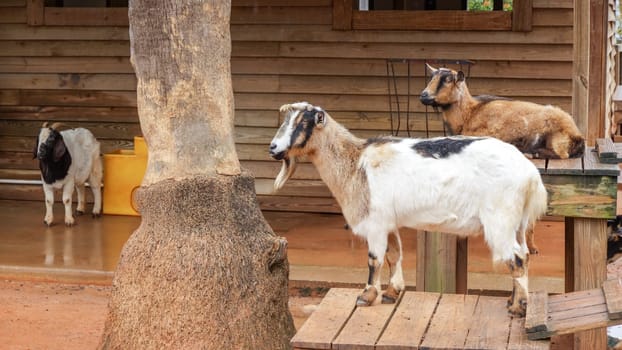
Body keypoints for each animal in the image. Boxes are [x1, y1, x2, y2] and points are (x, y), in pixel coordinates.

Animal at [270, 102, 548, 318]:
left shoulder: (375, 222)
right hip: (517, 222)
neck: (356, 163)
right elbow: (394, 254)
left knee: (515, 259)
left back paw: (518, 308)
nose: (273, 147)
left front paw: (367, 296)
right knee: (525, 255)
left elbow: (374, 259)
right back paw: (513, 301)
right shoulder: (388, 222)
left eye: (302, 123)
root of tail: (530, 174)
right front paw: (392, 293)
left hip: (500, 219)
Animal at [422, 64, 588, 160]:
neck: (470, 113)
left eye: (448, 80)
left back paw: (531, 152)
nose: (423, 95)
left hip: (557, 139)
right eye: (432, 77)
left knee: (562, 155)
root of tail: (577, 135)